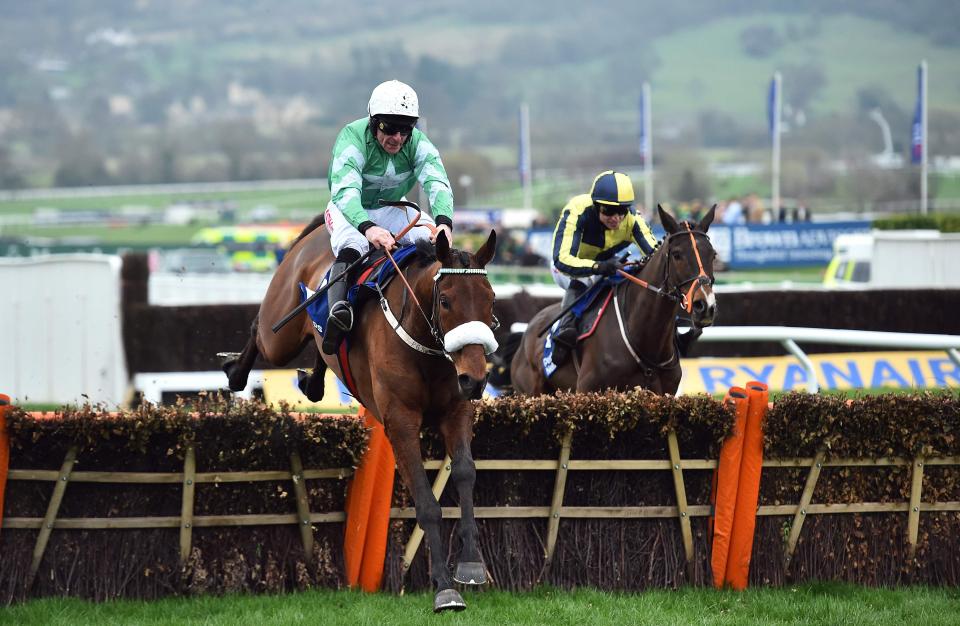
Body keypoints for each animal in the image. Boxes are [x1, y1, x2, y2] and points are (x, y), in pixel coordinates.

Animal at [221, 213, 498, 608]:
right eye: (445, 300)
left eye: (490, 298)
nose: (475, 379)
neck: (423, 345)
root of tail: (312, 235)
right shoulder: (400, 422)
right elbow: (427, 502)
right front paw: (444, 588)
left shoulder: (456, 411)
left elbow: (464, 474)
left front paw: (471, 564)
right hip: (281, 334)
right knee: (260, 330)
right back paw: (235, 371)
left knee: (322, 348)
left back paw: (313, 379)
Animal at [512, 207, 716, 398]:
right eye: (677, 254)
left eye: (713, 254)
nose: (705, 306)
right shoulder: (587, 389)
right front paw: (609, 266)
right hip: (531, 392)